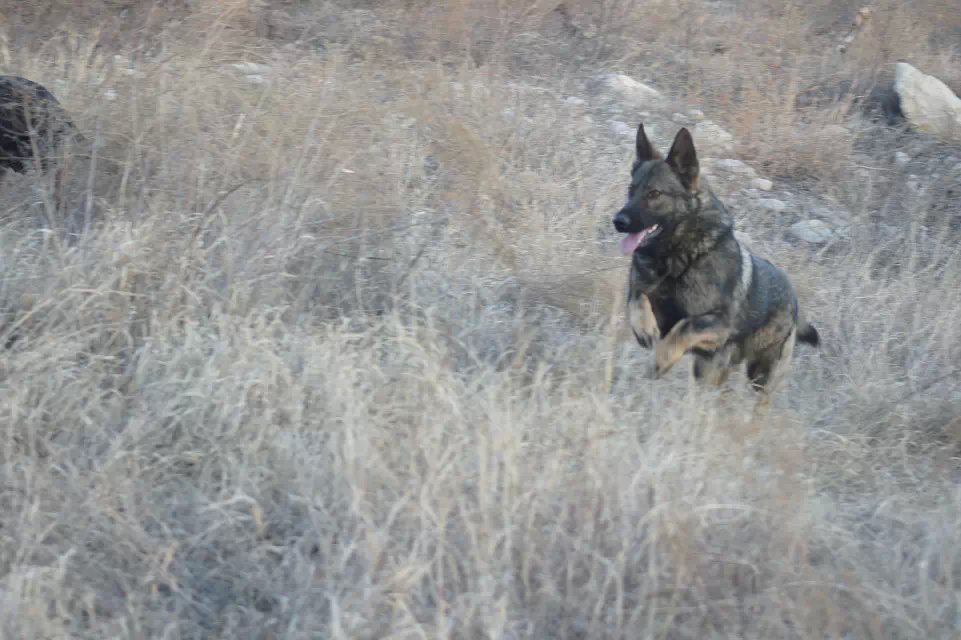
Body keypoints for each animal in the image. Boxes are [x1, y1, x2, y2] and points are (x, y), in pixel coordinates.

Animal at [616, 122, 816, 398]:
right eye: (631, 190)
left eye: (654, 193)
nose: (618, 222)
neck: (678, 258)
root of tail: (794, 300)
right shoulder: (639, 290)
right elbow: (638, 300)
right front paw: (645, 330)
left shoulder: (718, 324)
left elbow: (684, 326)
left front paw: (660, 361)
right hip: (712, 370)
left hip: (759, 374)